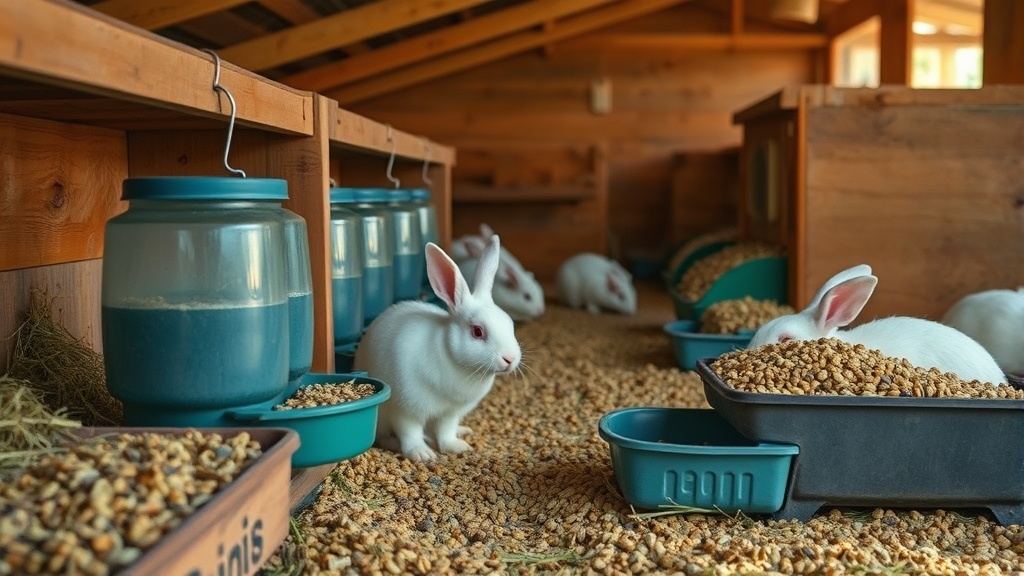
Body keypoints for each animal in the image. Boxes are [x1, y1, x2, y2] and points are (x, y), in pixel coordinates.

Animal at [353, 234, 522, 462]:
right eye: (477, 331)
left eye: (509, 323)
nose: (510, 359)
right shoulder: (404, 410)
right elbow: (410, 433)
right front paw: (422, 454)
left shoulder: (449, 413)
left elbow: (445, 432)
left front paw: (457, 447)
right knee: (386, 436)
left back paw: (461, 431)